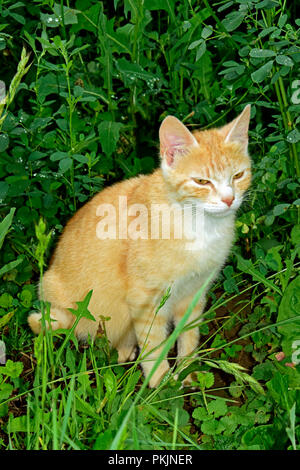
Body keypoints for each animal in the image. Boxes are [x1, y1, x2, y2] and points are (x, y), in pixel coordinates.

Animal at [29, 104, 252, 388]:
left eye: (238, 175)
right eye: (202, 182)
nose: (228, 199)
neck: (199, 224)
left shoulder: (194, 293)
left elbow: (188, 337)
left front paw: (188, 372)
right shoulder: (146, 300)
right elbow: (153, 345)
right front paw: (161, 384)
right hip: (56, 292)